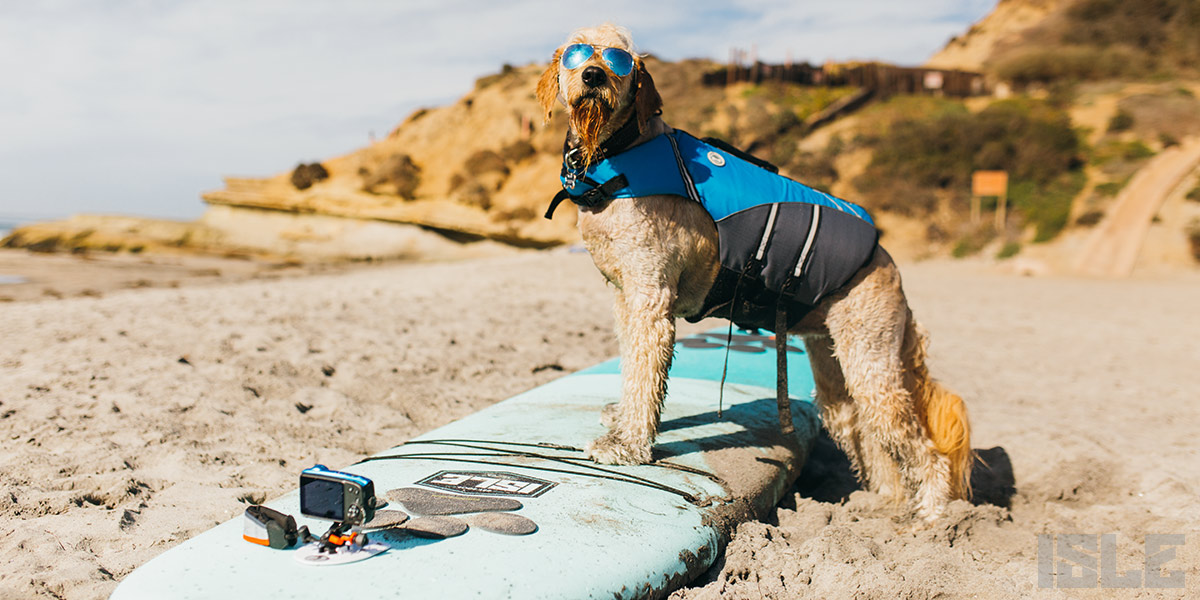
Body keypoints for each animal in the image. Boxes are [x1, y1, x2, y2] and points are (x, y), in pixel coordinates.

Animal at [540, 24, 969, 520]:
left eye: (619, 59)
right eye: (576, 53)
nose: (593, 75)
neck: (618, 153)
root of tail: (889, 264)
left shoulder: (650, 299)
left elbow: (646, 374)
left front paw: (628, 445)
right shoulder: (624, 298)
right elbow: (632, 366)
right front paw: (623, 418)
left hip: (872, 365)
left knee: (926, 451)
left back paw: (933, 518)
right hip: (838, 379)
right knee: (877, 449)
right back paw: (878, 509)